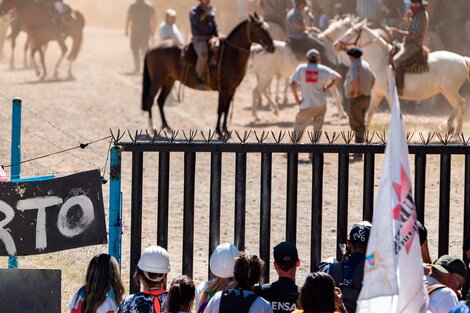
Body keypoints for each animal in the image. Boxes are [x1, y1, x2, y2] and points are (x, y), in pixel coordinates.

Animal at [143, 14, 276, 133]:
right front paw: (218, 131)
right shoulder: (223, 89)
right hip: (157, 80)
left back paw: (166, 126)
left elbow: (226, 108)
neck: (229, 55)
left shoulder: (232, 89)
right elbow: (220, 109)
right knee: (150, 99)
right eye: (259, 29)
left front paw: (225, 130)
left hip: (168, 81)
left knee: (160, 101)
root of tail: (152, 48)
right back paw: (152, 126)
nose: (273, 47)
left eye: (267, 28)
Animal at [334, 20, 470, 133]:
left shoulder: (389, 93)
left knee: (461, 104)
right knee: (460, 105)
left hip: (449, 91)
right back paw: (452, 128)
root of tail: (462, 59)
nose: (335, 45)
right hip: (448, 91)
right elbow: (370, 114)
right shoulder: (377, 94)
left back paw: (455, 131)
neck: (381, 60)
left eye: (350, 33)